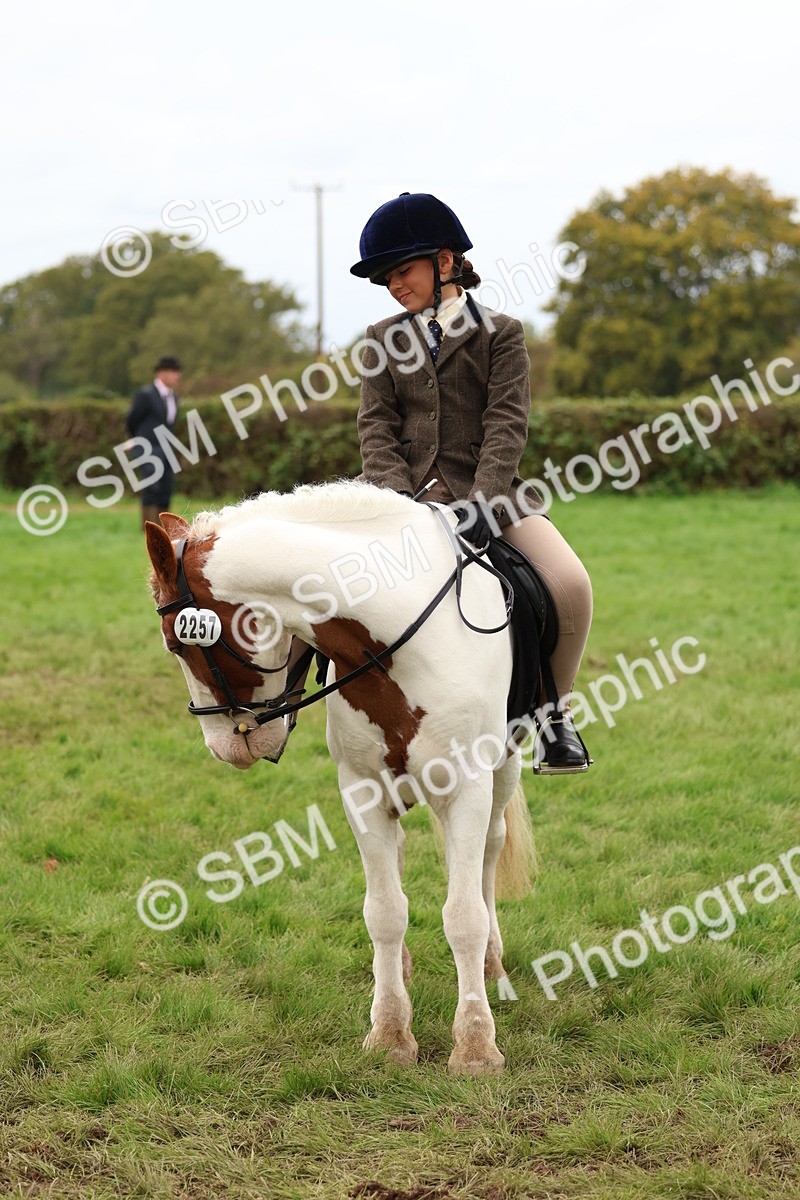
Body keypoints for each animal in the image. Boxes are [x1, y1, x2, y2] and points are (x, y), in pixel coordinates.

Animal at [145, 481, 536, 1075]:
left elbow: (464, 913)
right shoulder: (362, 789)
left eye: (176, 644)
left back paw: (491, 964)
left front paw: (475, 1046)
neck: (393, 645)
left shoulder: (469, 783)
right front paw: (391, 1033)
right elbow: (384, 911)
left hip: (504, 765)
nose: (225, 746)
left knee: (489, 850)